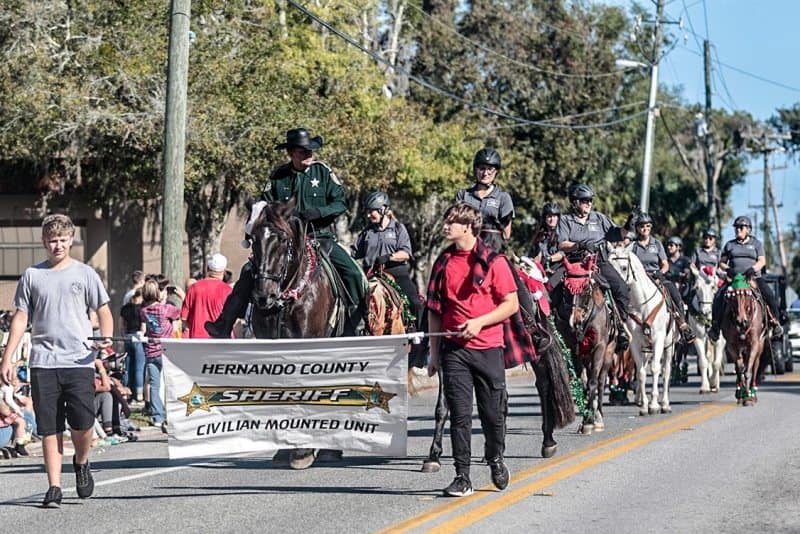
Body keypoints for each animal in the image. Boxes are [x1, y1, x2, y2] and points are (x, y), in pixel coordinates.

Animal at [556, 258, 612, 438]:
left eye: (586, 288)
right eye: (566, 289)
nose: (575, 321)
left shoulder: (600, 348)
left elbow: (593, 383)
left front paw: (589, 422)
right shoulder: (575, 351)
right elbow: (584, 384)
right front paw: (586, 420)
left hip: (608, 352)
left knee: (601, 381)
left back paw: (598, 417)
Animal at [608, 244, 676, 418]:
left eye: (624, 267)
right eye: (609, 265)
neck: (642, 304)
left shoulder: (658, 339)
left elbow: (656, 369)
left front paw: (654, 405)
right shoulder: (635, 344)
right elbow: (641, 373)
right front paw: (645, 406)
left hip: (669, 346)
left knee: (666, 371)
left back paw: (665, 404)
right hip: (646, 347)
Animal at [688, 266, 724, 396]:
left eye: (713, 287)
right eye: (696, 287)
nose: (705, 311)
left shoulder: (719, 339)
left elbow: (716, 363)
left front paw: (713, 382)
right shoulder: (698, 337)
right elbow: (703, 362)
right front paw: (705, 386)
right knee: (708, 356)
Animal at [720, 276, 768, 406]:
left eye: (747, 296)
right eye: (732, 298)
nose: (741, 321)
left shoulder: (754, 343)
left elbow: (747, 371)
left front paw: (748, 397)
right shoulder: (731, 346)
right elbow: (739, 369)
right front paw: (741, 395)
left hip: (759, 346)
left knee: (755, 366)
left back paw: (752, 393)